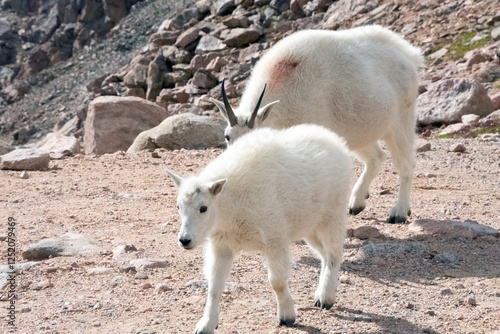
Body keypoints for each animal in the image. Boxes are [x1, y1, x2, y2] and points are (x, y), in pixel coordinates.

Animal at [165, 124, 352, 332]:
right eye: (178, 206)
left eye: (203, 208)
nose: (185, 240)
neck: (228, 203)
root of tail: (337, 142)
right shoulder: (222, 245)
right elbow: (214, 285)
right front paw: (206, 325)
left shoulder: (274, 238)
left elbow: (277, 282)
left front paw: (287, 317)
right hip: (310, 225)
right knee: (324, 255)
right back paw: (321, 295)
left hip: (332, 216)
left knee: (334, 253)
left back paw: (326, 298)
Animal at [211, 24, 426, 223]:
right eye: (227, 136)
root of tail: (408, 54)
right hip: (359, 132)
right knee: (376, 157)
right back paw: (357, 203)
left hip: (401, 121)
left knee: (406, 164)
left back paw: (399, 212)